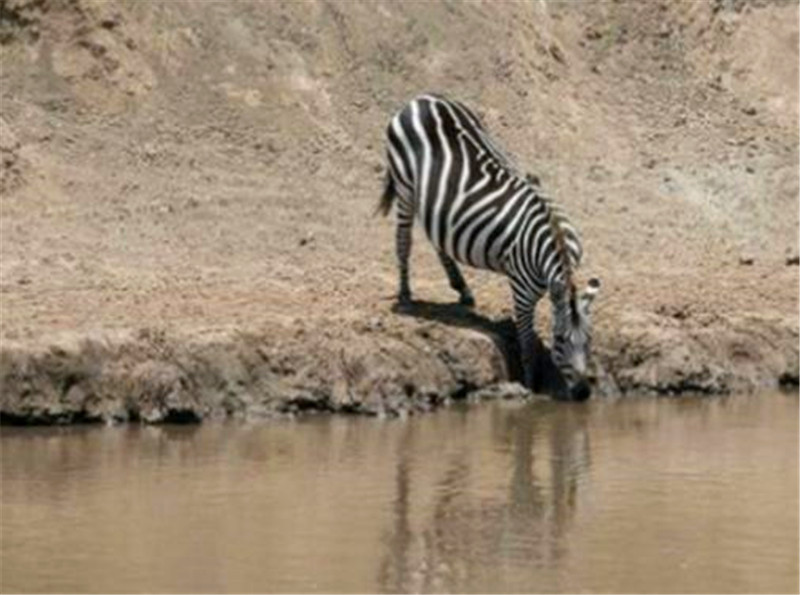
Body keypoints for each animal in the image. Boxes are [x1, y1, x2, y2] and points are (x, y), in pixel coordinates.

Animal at [380, 93, 600, 400]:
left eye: (589, 340)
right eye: (558, 339)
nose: (582, 393)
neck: (554, 247)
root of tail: (420, 98)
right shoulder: (522, 292)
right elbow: (526, 342)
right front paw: (530, 384)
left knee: (437, 235)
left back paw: (462, 289)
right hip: (404, 186)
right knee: (404, 239)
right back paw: (405, 293)